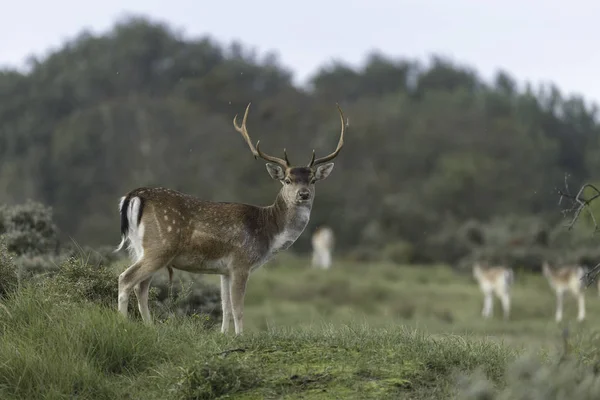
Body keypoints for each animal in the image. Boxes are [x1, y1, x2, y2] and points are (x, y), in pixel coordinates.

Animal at [115, 103, 350, 334]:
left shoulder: (224, 271)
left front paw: (223, 335)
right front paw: (240, 336)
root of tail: (135, 195)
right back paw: (123, 324)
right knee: (126, 279)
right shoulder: (241, 263)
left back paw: (149, 326)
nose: (303, 194)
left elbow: (225, 306)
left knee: (141, 286)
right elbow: (238, 308)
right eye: (288, 180)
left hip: (140, 248)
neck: (269, 233)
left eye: (312, 180)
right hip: (160, 246)